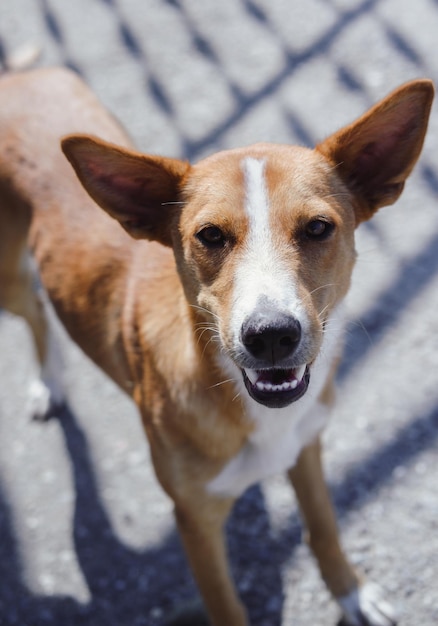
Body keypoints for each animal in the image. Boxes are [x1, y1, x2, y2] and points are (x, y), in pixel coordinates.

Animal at [0, 66, 432, 620]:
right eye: (209, 235)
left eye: (318, 228)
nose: (271, 336)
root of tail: (21, 73)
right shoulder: (194, 522)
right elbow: (227, 606)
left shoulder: (307, 446)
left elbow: (323, 527)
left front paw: (350, 590)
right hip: (6, 279)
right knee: (34, 307)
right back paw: (48, 382)